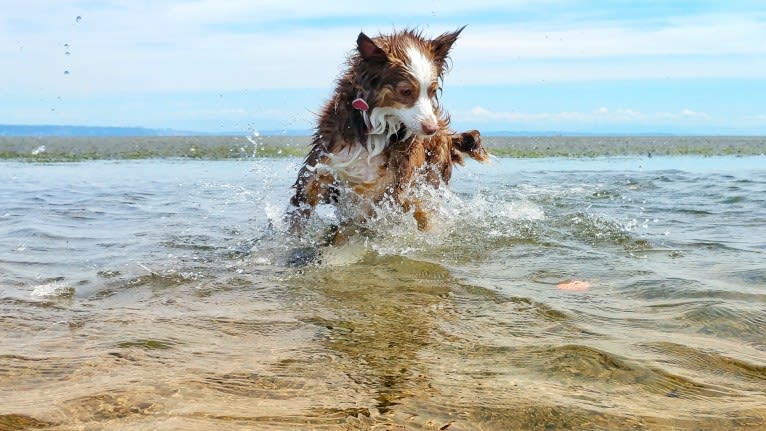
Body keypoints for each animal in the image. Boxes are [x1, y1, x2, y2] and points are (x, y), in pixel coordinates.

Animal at [284, 27, 488, 243]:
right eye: (406, 91)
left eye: (432, 91)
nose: (431, 130)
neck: (376, 128)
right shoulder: (323, 167)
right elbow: (300, 210)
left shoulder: (387, 191)